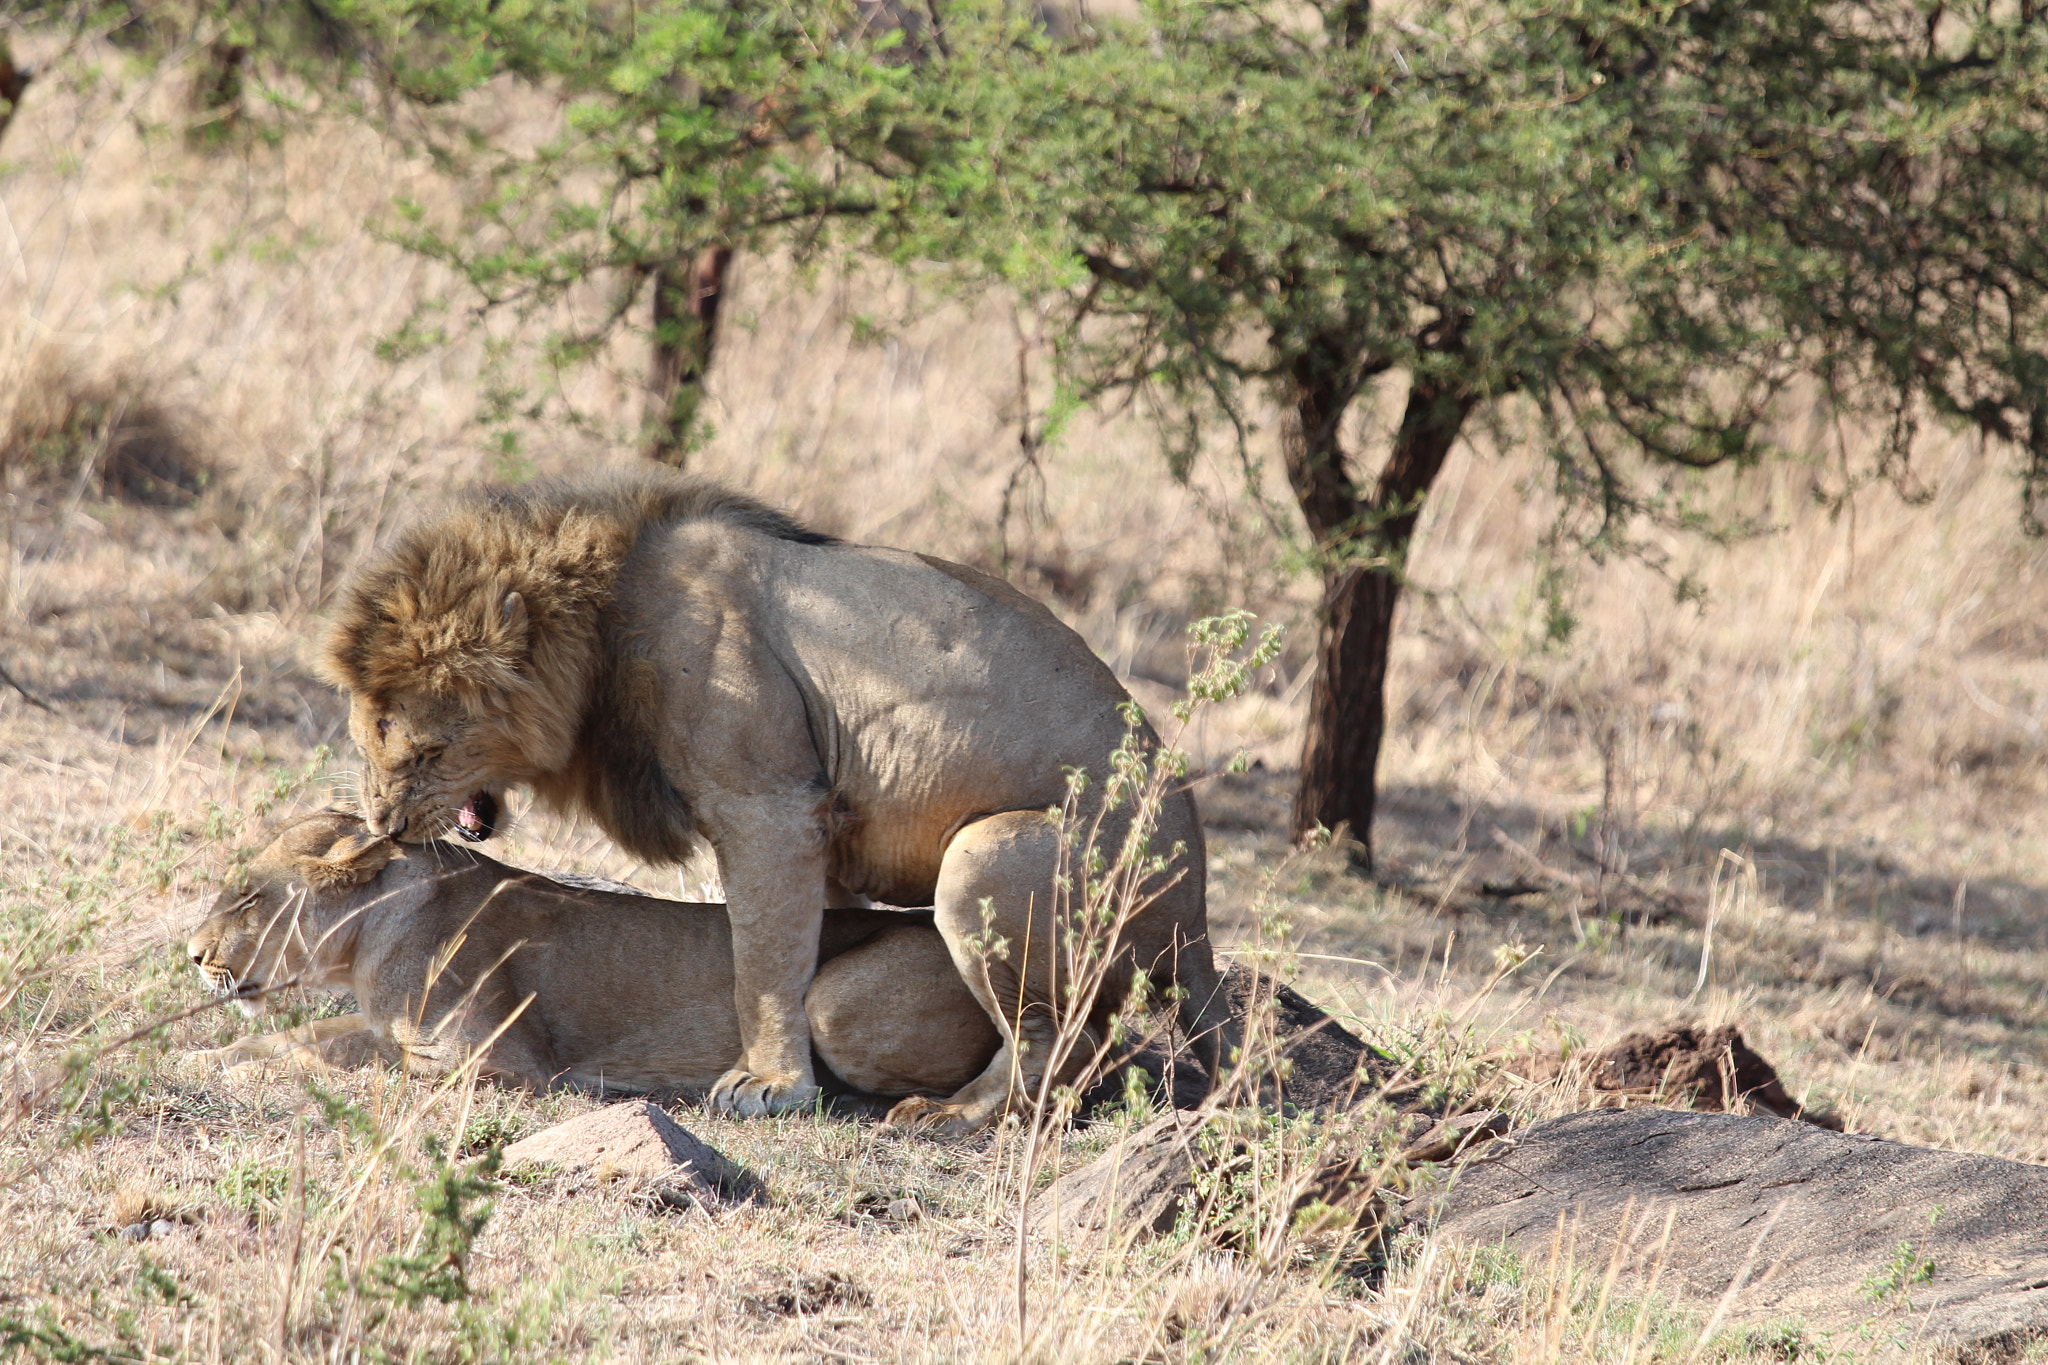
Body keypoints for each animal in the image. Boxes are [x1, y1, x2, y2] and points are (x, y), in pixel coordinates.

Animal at [188, 810, 1003, 1096]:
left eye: (249, 898)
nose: (193, 955)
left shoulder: (502, 1063)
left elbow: (336, 1061)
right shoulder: (382, 1023)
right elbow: (307, 1036)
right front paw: (200, 1058)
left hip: (831, 1003)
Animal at [315, 472, 1212, 1129]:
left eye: (426, 751)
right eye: (363, 741)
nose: (386, 824)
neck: (604, 617)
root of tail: (1199, 907)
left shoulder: (769, 806)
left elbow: (765, 961)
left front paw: (770, 1082)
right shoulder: (831, 827)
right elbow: (814, 938)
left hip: (986, 853)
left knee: (1065, 1038)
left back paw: (954, 1112)